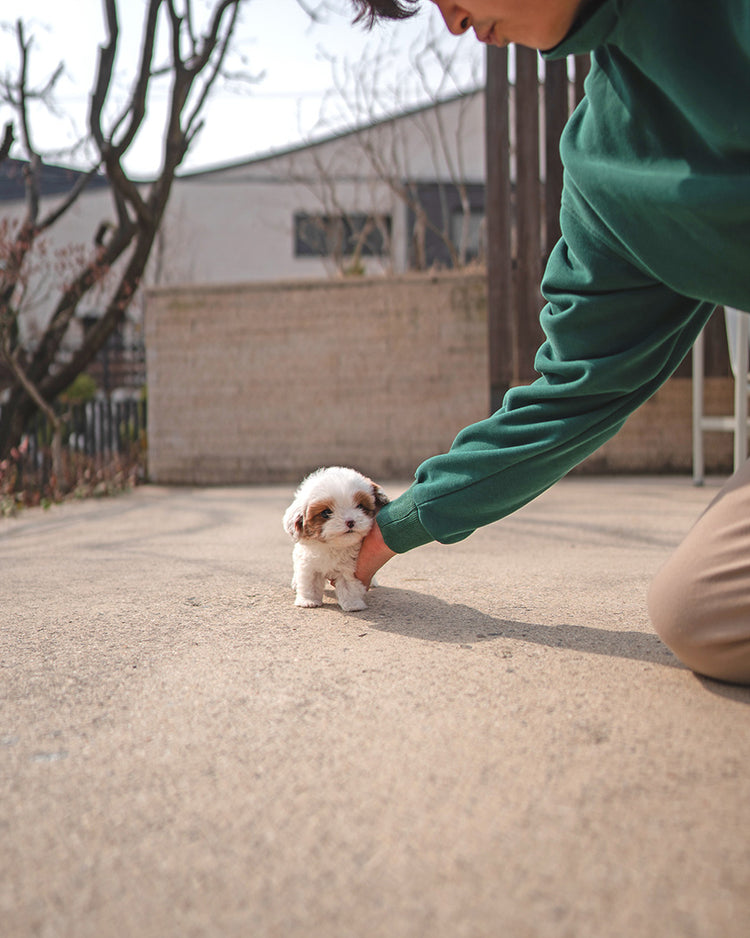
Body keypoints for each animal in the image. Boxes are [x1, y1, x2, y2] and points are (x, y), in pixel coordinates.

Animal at [284, 464, 390, 612]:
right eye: (326, 513)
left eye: (360, 506)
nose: (350, 521)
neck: (333, 546)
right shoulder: (309, 564)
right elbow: (309, 582)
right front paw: (308, 601)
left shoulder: (350, 567)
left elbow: (349, 585)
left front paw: (352, 604)